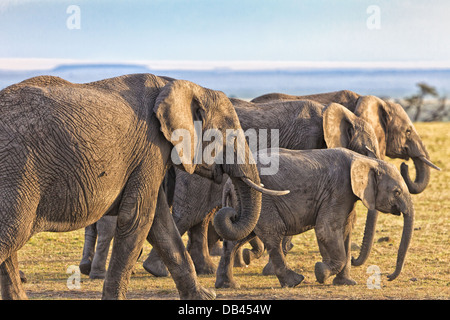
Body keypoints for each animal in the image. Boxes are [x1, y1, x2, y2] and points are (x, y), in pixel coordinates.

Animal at [0, 74, 284, 298]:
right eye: (229, 134)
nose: (231, 211)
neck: (176, 84)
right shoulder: (150, 148)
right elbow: (138, 218)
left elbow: (160, 224)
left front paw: (204, 297)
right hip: (19, 172)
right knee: (12, 233)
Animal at [216, 149, 416, 288]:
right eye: (397, 192)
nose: (388, 276)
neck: (365, 160)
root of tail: (228, 184)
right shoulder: (339, 190)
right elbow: (326, 230)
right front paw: (321, 273)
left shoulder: (345, 195)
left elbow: (344, 231)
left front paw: (346, 283)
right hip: (264, 199)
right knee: (273, 234)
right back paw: (294, 281)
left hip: (244, 201)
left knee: (236, 237)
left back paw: (227, 285)